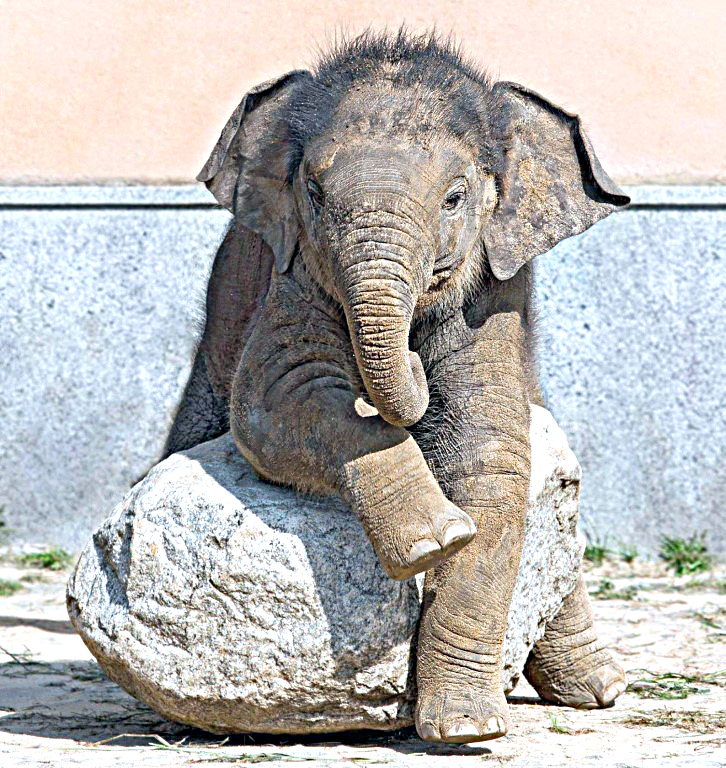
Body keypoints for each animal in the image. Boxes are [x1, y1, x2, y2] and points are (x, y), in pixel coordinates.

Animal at [164, 31, 629, 743]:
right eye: (314, 191)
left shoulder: (495, 299)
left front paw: (465, 729)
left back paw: (601, 692)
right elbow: (276, 402)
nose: (411, 356)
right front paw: (436, 536)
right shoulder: (289, 273)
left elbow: (488, 458)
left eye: (455, 197)